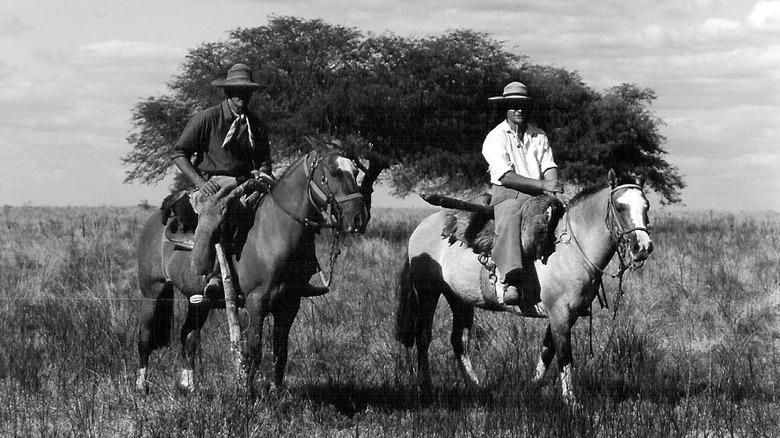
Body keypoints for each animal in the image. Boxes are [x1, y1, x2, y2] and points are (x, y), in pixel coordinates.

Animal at [136, 149, 368, 392]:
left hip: (197, 300)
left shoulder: (289, 303)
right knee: (145, 336)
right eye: (332, 173)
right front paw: (246, 394)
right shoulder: (255, 303)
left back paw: (188, 386)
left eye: (355, 172)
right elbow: (253, 352)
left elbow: (280, 351)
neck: (275, 231)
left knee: (188, 335)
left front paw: (276, 393)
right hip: (153, 291)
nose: (359, 218)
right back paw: (142, 386)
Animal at [396, 170, 652, 404]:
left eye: (646, 206)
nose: (643, 247)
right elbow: (564, 356)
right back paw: (426, 387)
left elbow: (548, 351)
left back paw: (476, 386)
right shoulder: (559, 314)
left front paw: (532, 388)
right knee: (423, 336)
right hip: (428, 293)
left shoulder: (568, 315)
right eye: (620, 206)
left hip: (459, 299)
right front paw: (571, 403)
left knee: (459, 341)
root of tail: (422, 227)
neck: (571, 248)